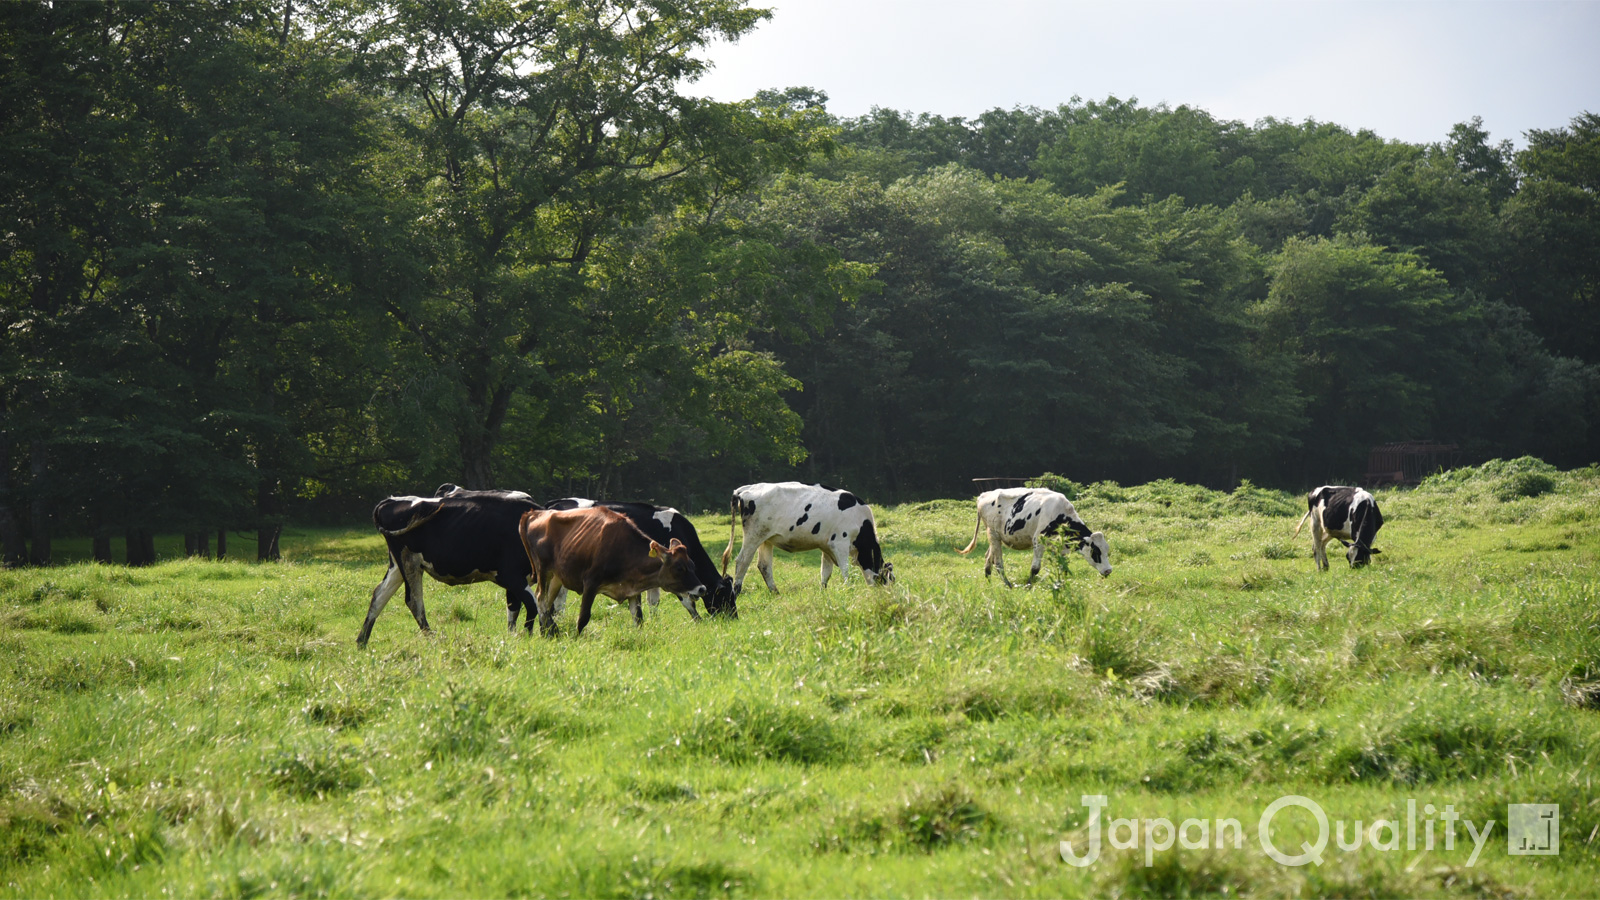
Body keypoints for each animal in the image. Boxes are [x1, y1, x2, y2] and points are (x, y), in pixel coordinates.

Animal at [356, 483, 544, 643]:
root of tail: (390, 500)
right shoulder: (510, 575)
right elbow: (533, 605)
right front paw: (531, 636)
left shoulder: (516, 582)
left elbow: (514, 610)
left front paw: (515, 638)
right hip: (408, 561)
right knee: (413, 600)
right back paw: (433, 639)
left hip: (398, 564)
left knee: (380, 594)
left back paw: (361, 642)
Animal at [518, 506, 707, 637]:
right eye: (679, 568)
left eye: (693, 565)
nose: (702, 588)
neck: (624, 551)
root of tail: (534, 513)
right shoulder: (590, 584)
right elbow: (583, 617)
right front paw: (576, 639)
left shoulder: (633, 590)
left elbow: (638, 619)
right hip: (543, 570)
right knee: (541, 598)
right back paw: (551, 630)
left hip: (557, 577)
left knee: (547, 602)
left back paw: (546, 632)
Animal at [540, 496, 732, 614]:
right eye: (725, 596)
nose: (732, 618)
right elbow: (687, 600)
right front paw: (698, 621)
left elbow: (654, 601)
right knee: (558, 599)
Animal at [720, 480, 896, 592]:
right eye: (888, 579)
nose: (887, 595)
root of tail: (746, 488)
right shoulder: (840, 543)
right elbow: (845, 571)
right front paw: (848, 589)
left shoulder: (827, 546)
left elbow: (826, 572)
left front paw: (823, 592)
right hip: (753, 536)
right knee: (741, 562)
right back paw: (737, 590)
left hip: (765, 539)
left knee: (764, 566)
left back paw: (775, 592)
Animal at [953, 486, 1107, 586]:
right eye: (1095, 551)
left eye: (1107, 551)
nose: (1108, 570)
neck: (1060, 514)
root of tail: (983, 495)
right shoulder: (1038, 540)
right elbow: (1035, 568)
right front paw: (1028, 585)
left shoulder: (1058, 545)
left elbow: (1062, 565)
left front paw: (1062, 583)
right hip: (993, 533)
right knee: (998, 563)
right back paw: (1008, 584)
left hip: (995, 536)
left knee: (988, 558)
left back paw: (989, 582)